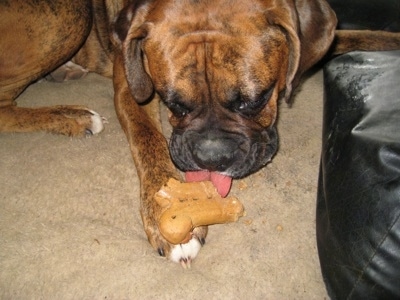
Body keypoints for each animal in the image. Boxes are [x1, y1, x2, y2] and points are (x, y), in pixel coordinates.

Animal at [0, 0, 400, 268]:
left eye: (256, 100)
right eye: (173, 104)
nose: (212, 156)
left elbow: (354, 35)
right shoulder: (130, 84)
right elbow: (149, 141)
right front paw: (167, 210)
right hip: (70, 13)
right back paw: (73, 115)